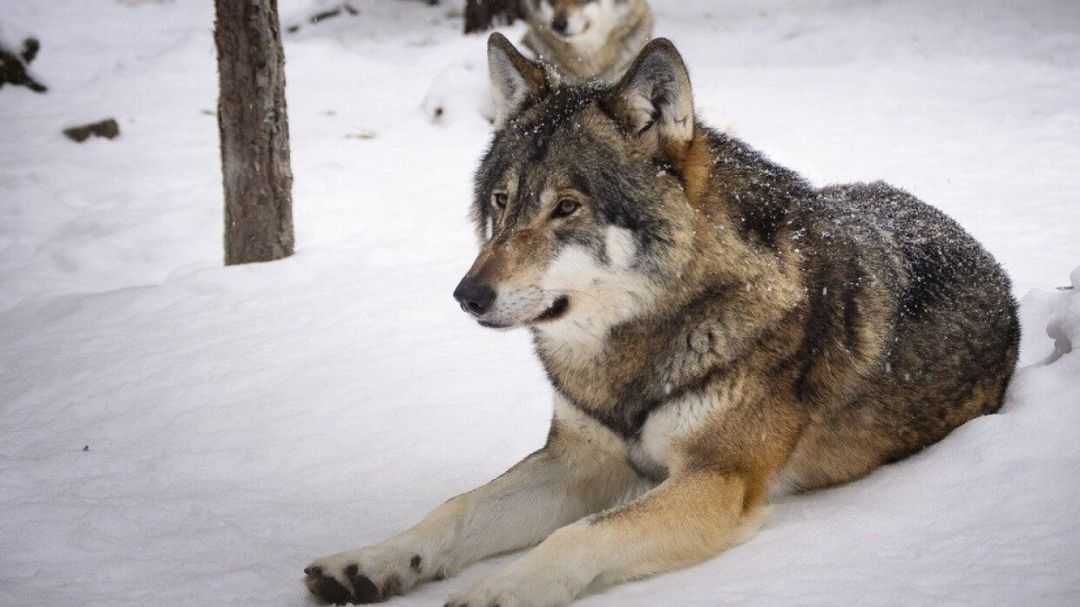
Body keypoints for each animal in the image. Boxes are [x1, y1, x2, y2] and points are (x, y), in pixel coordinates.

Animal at [306, 33, 1019, 604]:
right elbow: (457, 508)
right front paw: (369, 561)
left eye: (567, 207)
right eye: (503, 201)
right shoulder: (579, 459)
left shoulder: (717, 481)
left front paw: (496, 593)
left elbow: (573, 538)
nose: (467, 295)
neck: (638, 344)